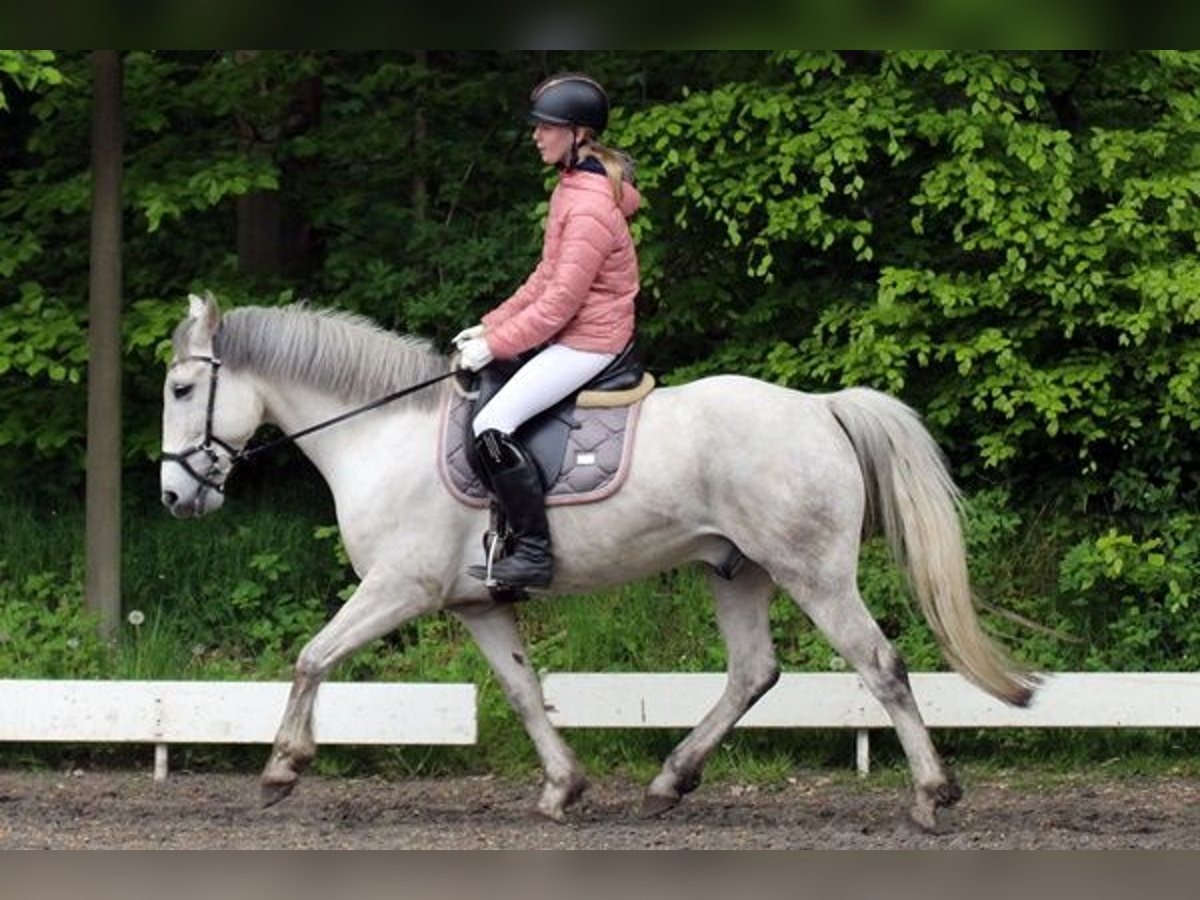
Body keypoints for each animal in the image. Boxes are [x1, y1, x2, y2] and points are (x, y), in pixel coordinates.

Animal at [162, 294, 1041, 830]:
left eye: (179, 390)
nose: (175, 497)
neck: (379, 434)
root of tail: (821, 408)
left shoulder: (398, 588)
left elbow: (312, 656)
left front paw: (282, 768)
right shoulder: (476, 603)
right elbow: (522, 691)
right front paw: (563, 787)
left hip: (813, 573)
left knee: (879, 665)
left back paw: (931, 795)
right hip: (737, 570)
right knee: (753, 673)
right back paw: (669, 781)